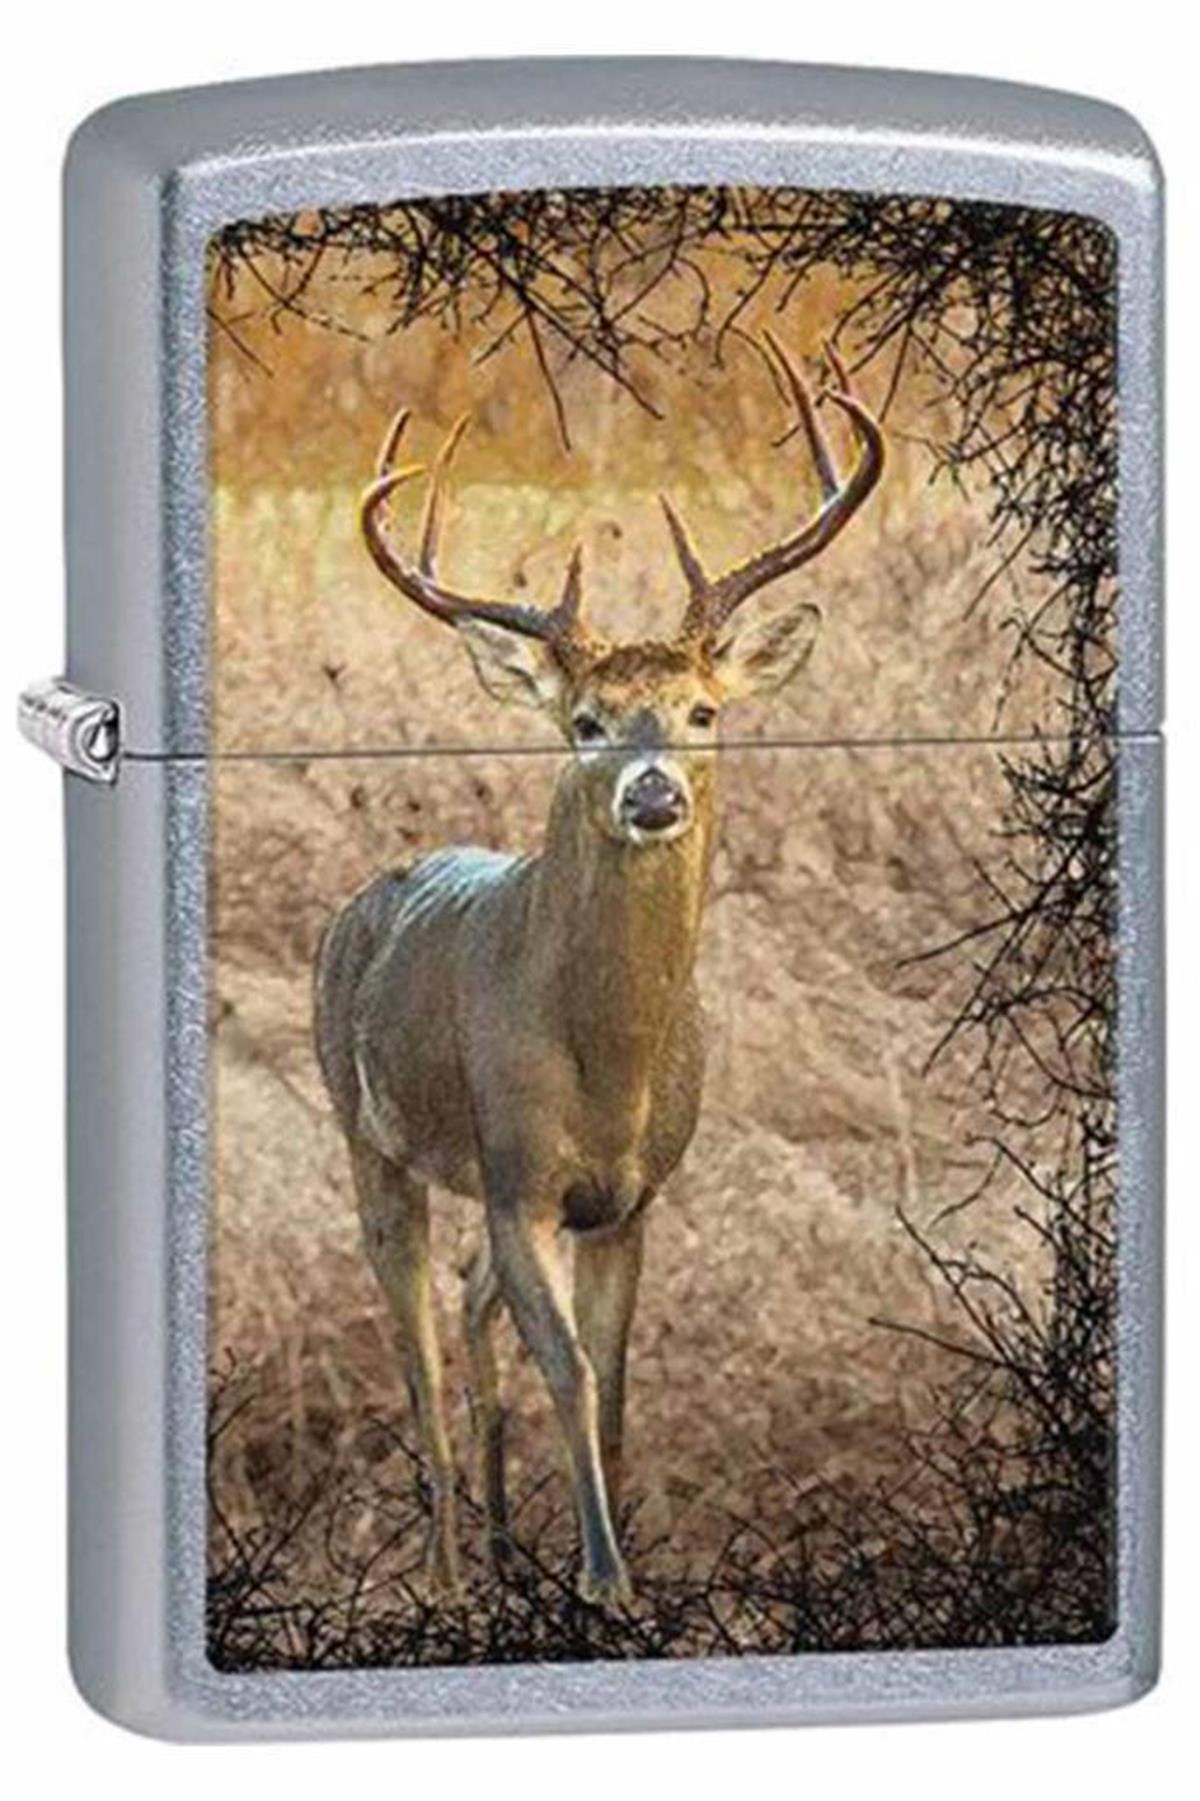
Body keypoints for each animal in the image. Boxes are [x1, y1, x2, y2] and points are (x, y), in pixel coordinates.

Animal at [313, 334, 884, 1606]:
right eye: (584, 719)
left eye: (702, 709)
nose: (653, 792)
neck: (607, 1063)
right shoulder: (520, 1173)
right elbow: (569, 1371)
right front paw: (604, 1578)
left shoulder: (630, 1197)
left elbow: (614, 1385)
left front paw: (617, 1573)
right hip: (369, 1131)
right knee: (416, 1347)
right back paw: (448, 1569)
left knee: (469, 1305)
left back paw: (496, 1547)